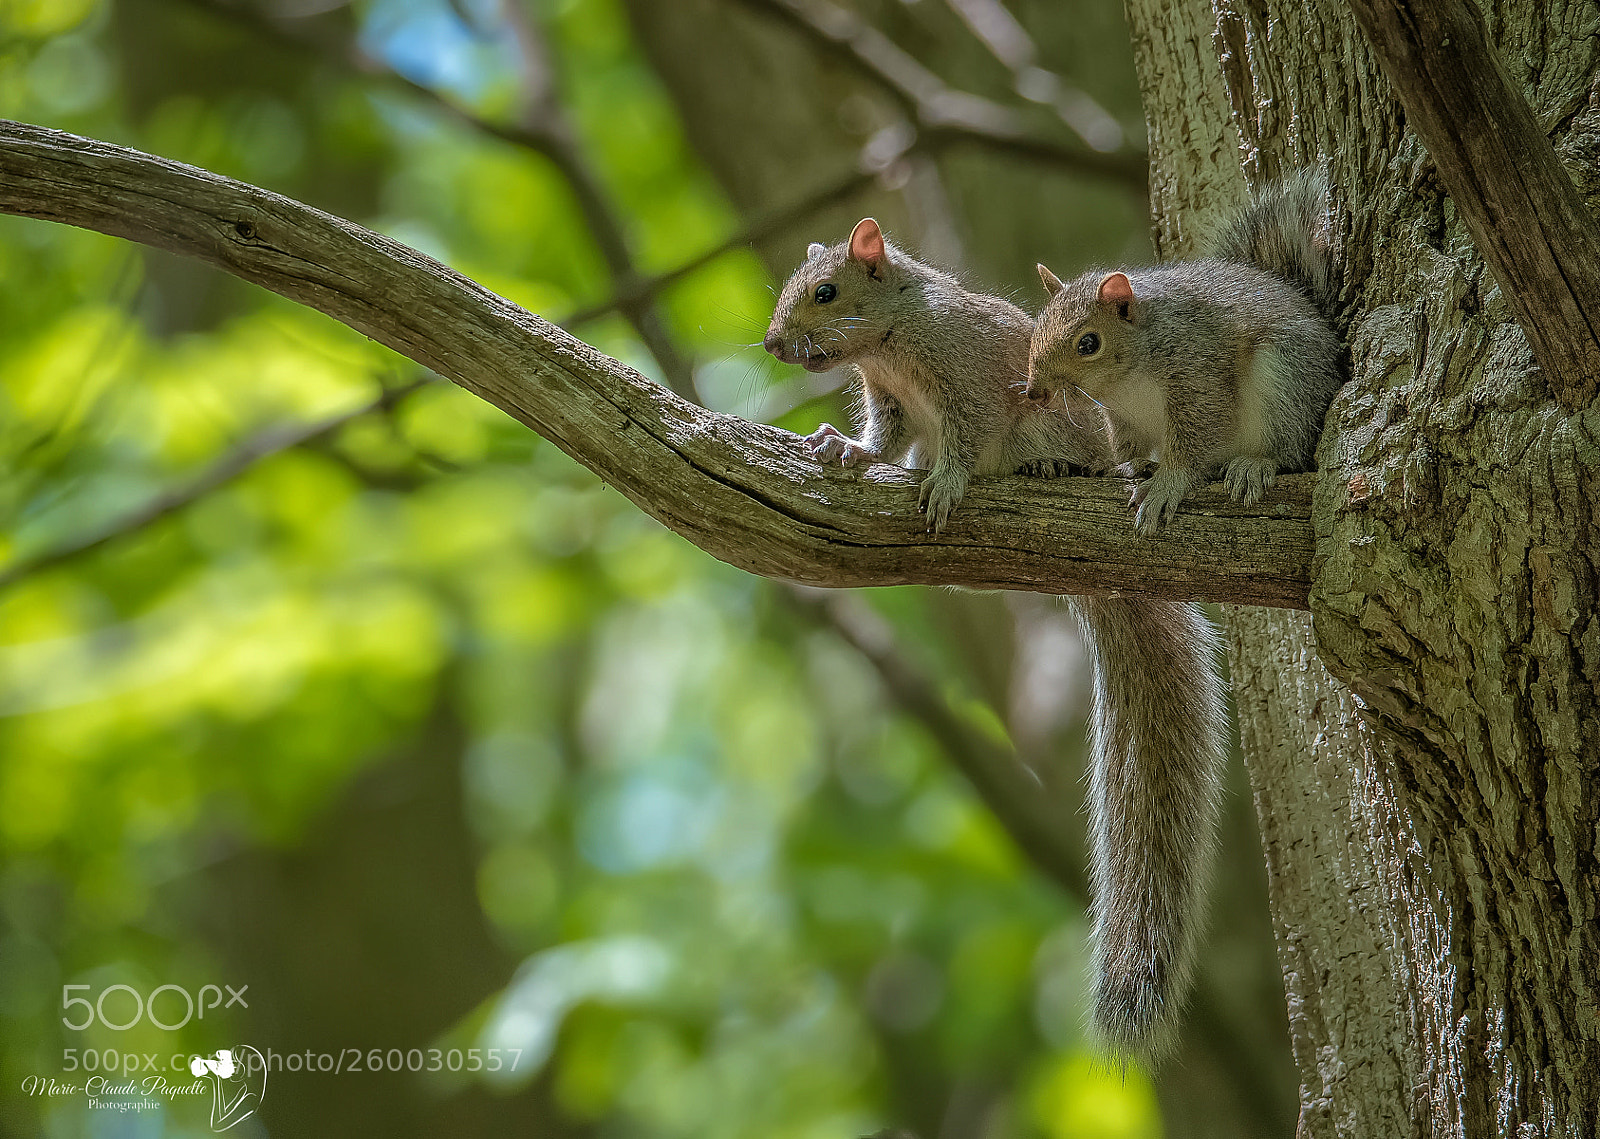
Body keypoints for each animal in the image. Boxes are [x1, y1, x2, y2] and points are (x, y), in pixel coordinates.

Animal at [765, 217, 1228, 1060]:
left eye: (825, 290)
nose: (773, 342)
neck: (892, 341)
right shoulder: (891, 399)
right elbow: (887, 440)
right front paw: (849, 449)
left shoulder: (969, 385)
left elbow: (966, 434)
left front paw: (948, 479)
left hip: (1061, 424)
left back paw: (1050, 466)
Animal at [1025, 169, 1343, 535]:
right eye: (1038, 326)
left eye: (1088, 344)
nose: (1034, 393)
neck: (1125, 384)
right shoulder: (1123, 416)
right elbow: (1128, 445)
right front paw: (1123, 465)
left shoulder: (1198, 374)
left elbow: (1194, 440)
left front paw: (1167, 485)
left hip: (1285, 377)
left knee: (1292, 450)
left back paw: (1255, 463)